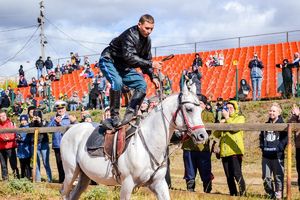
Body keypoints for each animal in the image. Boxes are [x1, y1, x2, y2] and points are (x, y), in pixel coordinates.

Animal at [59, 83, 207, 199]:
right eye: (189, 109)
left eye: (201, 110)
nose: (202, 136)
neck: (148, 144)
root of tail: (71, 129)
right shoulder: (127, 184)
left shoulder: (159, 184)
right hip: (71, 173)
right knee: (64, 193)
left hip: (83, 177)